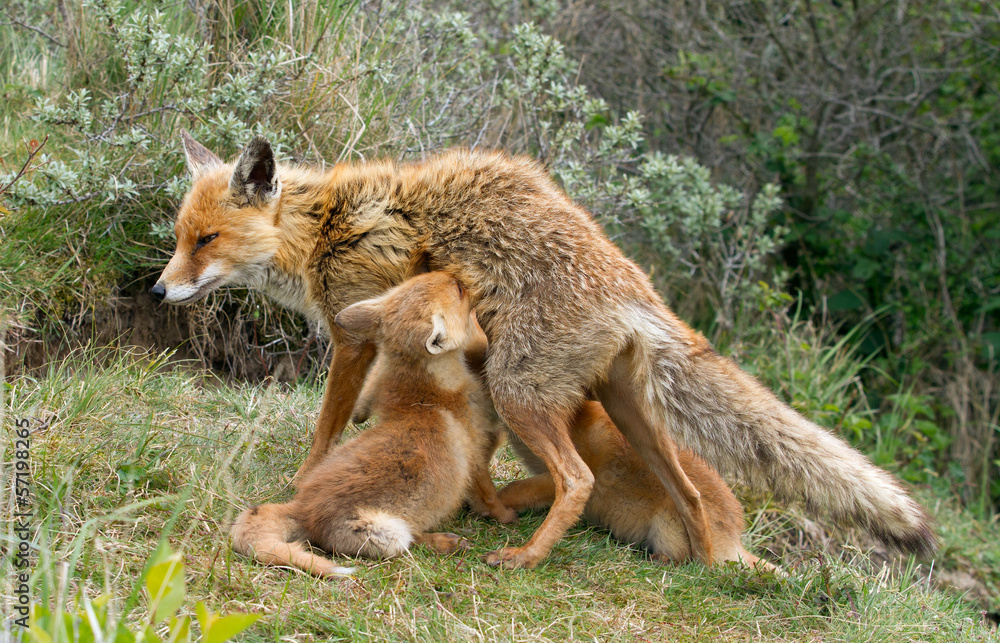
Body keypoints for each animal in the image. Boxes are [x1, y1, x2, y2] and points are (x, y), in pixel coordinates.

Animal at [230, 271, 514, 577]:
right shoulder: (475, 455)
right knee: (411, 542)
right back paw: (446, 541)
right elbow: (488, 495)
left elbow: (367, 393)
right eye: (459, 289)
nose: (455, 273)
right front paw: (505, 515)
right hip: (389, 534)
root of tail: (302, 507)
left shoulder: (380, 382)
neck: (425, 394)